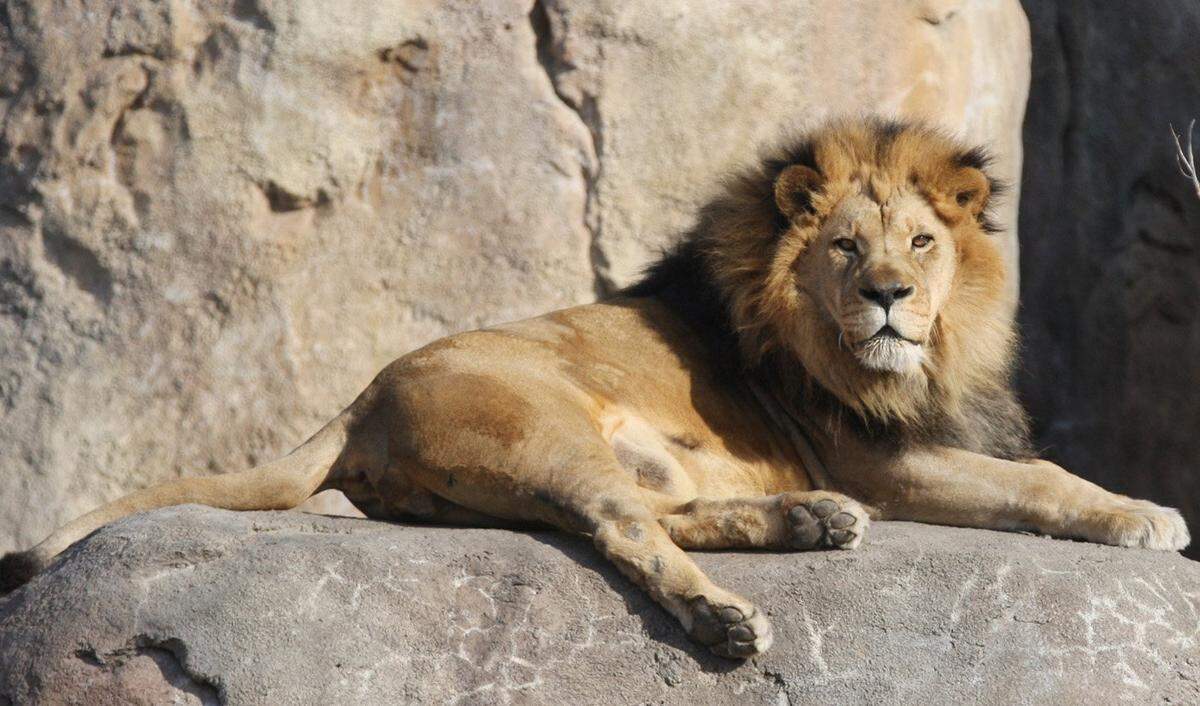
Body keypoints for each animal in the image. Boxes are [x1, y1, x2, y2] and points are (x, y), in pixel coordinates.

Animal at [0, 118, 1189, 658]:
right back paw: (727, 622)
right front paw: (1144, 513)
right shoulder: (880, 456)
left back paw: (810, 522)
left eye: (923, 242)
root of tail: (360, 398)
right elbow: (1041, 478)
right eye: (847, 248)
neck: (925, 354)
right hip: (544, 432)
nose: (891, 295)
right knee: (627, 531)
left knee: (659, 513)